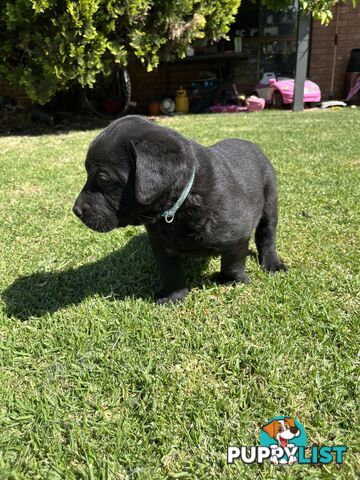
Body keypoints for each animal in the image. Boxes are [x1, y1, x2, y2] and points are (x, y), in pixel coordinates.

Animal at [74, 115, 286, 304]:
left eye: (104, 179)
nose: (76, 211)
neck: (180, 202)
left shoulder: (238, 235)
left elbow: (232, 263)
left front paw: (232, 281)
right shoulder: (160, 243)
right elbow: (170, 271)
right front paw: (174, 295)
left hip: (270, 200)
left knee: (266, 235)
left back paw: (272, 263)